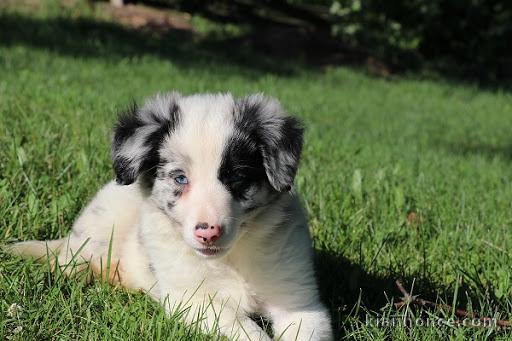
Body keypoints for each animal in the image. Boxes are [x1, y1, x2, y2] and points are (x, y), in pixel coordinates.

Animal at [9, 91, 336, 338]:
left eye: (237, 177)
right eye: (180, 179)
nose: (208, 232)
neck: (228, 260)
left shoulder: (298, 297)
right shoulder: (191, 299)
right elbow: (242, 326)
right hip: (95, 234)